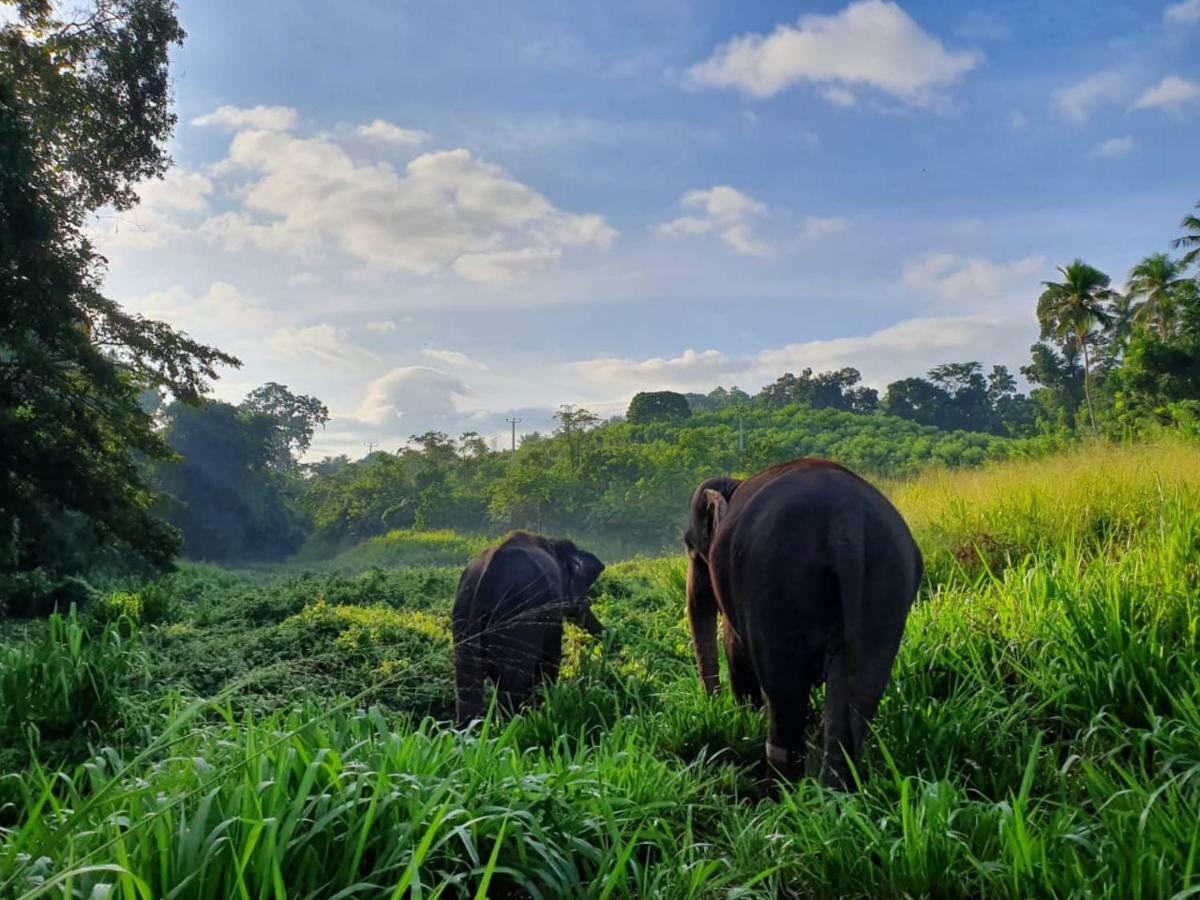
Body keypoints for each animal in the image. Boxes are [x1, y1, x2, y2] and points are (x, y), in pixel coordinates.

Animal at [451, 532, 604, 729]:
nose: (609, 635)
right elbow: (550, 660)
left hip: (463, 617)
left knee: (468, 687)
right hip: (517, 622)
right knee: (514, 686)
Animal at [686, 460, 916, 787]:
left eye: (691, 549)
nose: (713, 705)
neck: (734, 483)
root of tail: (846, 522)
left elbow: (734, 646)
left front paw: (746, 718)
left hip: (776, 584)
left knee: (785, 697)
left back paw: (779, 791)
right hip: (887, 588)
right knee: (857, 698)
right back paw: (831, 794)